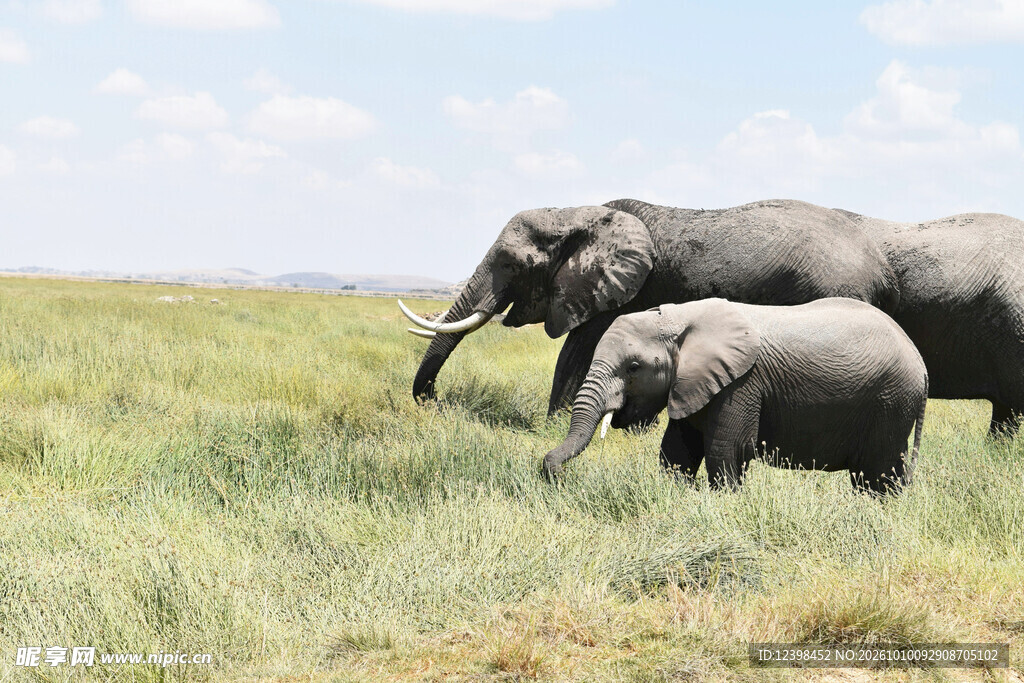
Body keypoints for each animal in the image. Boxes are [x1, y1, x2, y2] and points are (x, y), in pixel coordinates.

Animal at [401, 199, 899, 415]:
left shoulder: (616, 290)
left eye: (510, 263)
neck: (577, 212)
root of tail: (879, 265)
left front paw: (554, 422)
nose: (434, 402)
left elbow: (577, 352)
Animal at [542, 298, 928, 494]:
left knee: (879, 470)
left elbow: (726, 450)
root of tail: (920, 362)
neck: (680, 318)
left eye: (634, 367)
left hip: (892, 397)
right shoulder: (695, 383)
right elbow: (676, 452)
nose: (555, 476)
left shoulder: (742, 383)